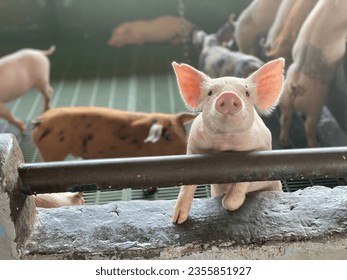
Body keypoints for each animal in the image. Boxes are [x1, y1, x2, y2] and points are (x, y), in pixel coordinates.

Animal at [278, 0, 347, 148]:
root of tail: (295, 87)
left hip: (285, 101)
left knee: (285, 120)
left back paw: (286, 143)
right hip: (314, 106)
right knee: (308, 126)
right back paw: (315, 145)